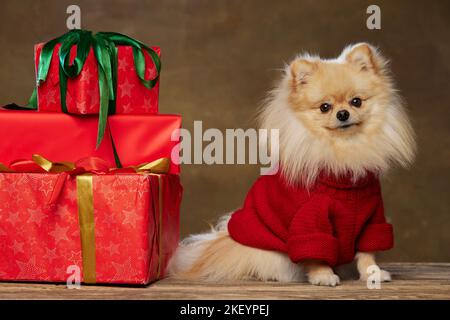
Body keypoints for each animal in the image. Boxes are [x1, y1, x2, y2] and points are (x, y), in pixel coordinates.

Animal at [169, 43, 414, 286]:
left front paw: (373, 273)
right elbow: (314, 251)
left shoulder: (373, 217)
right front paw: (323, 275)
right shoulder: (309, 220)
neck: (343, 153)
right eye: (325, 107)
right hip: (272, 255)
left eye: (356, 101)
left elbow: (366, 253)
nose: (343, 113)